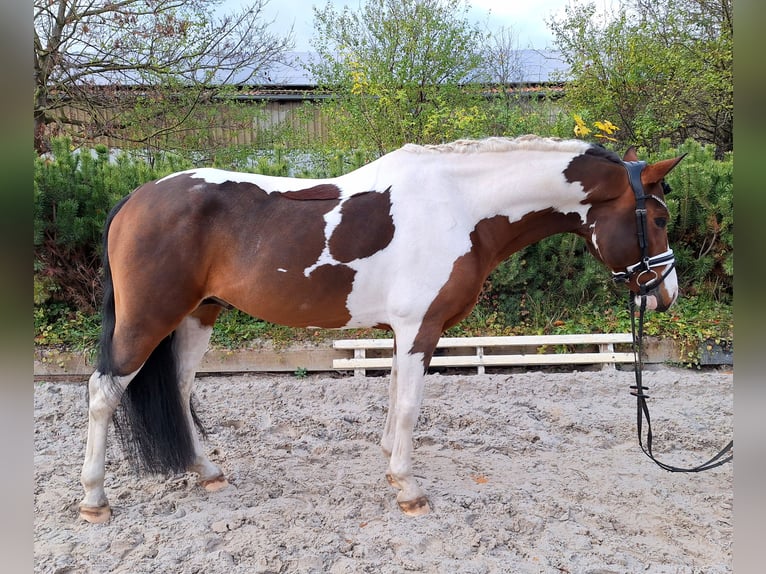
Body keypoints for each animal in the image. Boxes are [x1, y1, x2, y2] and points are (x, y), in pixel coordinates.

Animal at [78, 136, 684, 528]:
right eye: (656, 220)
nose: (665, 294)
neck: (461, 207)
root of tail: (135, 198)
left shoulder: (403, 330)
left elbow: (394, 397)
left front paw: (392, 468)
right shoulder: (422, 327)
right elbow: (411, 405)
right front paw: (410, 489)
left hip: (199, 315)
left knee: (179, 389)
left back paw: (207, 471)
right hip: (149, 319)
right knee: (103, 393)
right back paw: (94, 501)